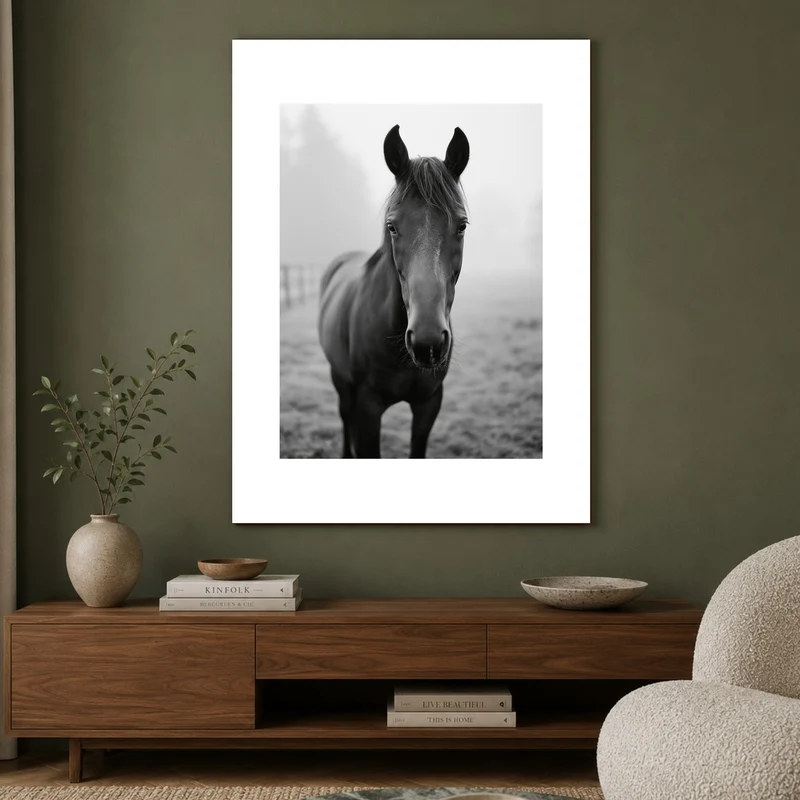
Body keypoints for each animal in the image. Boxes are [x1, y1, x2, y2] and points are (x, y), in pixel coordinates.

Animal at [318, 124, 470, 458]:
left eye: (462, 225)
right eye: (392, 226)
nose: (427, 342)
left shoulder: (429, 404)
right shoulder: (368, 408)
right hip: (340, 379)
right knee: (344, 416)